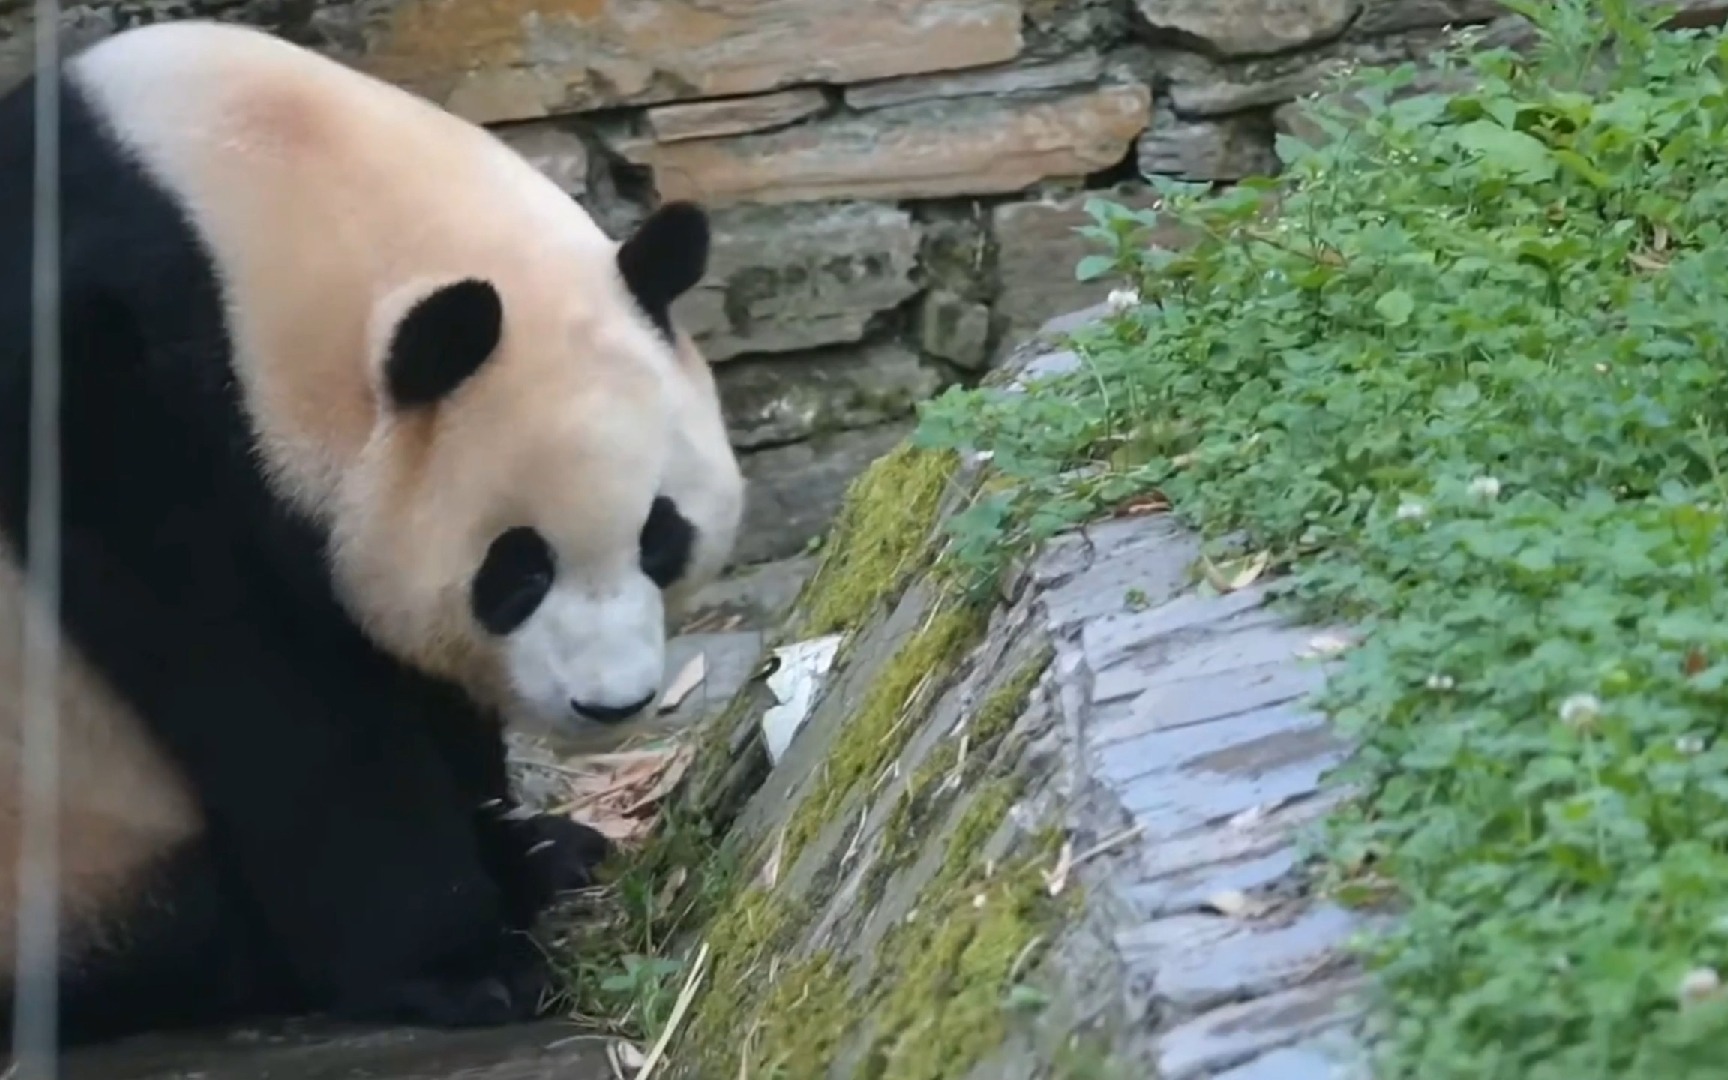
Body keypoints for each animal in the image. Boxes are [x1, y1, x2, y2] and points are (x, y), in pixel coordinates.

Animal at [0, 16, 743, 1043]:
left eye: (659, 537)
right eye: (518, 570)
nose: (612, 704)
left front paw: (521, 854)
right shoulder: (111, 411)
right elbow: (272, 692)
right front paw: (467, 964)